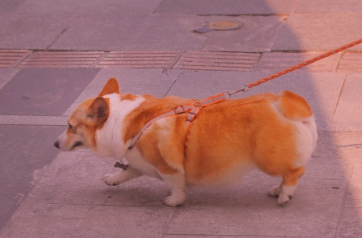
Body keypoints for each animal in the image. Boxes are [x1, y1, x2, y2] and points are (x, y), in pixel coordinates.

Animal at [53, 77, 316, 206]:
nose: (55, 144)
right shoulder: (139, 162)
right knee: (290, 172)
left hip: (267, 159)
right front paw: (111, 179)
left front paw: (173, 201)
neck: (125, 121)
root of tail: (285, 105)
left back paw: (285, 195)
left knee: (296, 172)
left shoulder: (167, 167)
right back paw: (278, 190)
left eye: (70, 127)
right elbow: (126, 172)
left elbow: (176, 186)